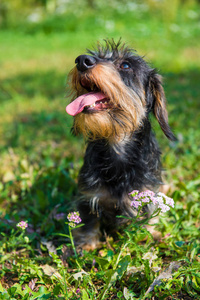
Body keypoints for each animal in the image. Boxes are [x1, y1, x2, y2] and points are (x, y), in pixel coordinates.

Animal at [66, 39, 175, 251]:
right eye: (96, 55)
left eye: (125, 65)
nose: (82, 60)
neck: (116, 146)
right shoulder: (88, 196)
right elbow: (88, 221)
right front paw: (86, 245)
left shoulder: (147, 194)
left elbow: (148, 217)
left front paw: (149, 235)